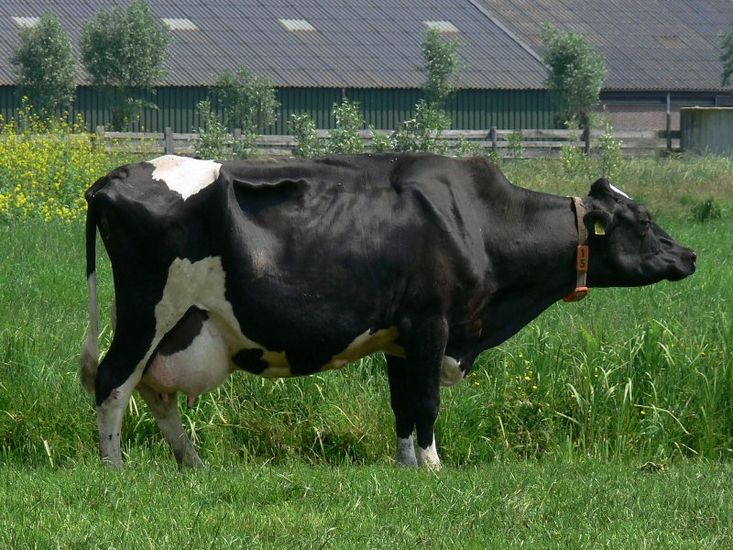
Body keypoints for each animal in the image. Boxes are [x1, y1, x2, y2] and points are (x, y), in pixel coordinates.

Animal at [80, 153, 696, 468]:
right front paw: (433, 467)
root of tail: (112, 178)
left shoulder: (401, 339)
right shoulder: (430, 324)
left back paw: (195, 463)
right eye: (643, 220)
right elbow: (426, 403)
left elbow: (403, 406)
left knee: (153, 391)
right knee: (113, 380)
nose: (689, 255)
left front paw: (405, 468)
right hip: (147, 310)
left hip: (180, 324)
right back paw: (115, 469)